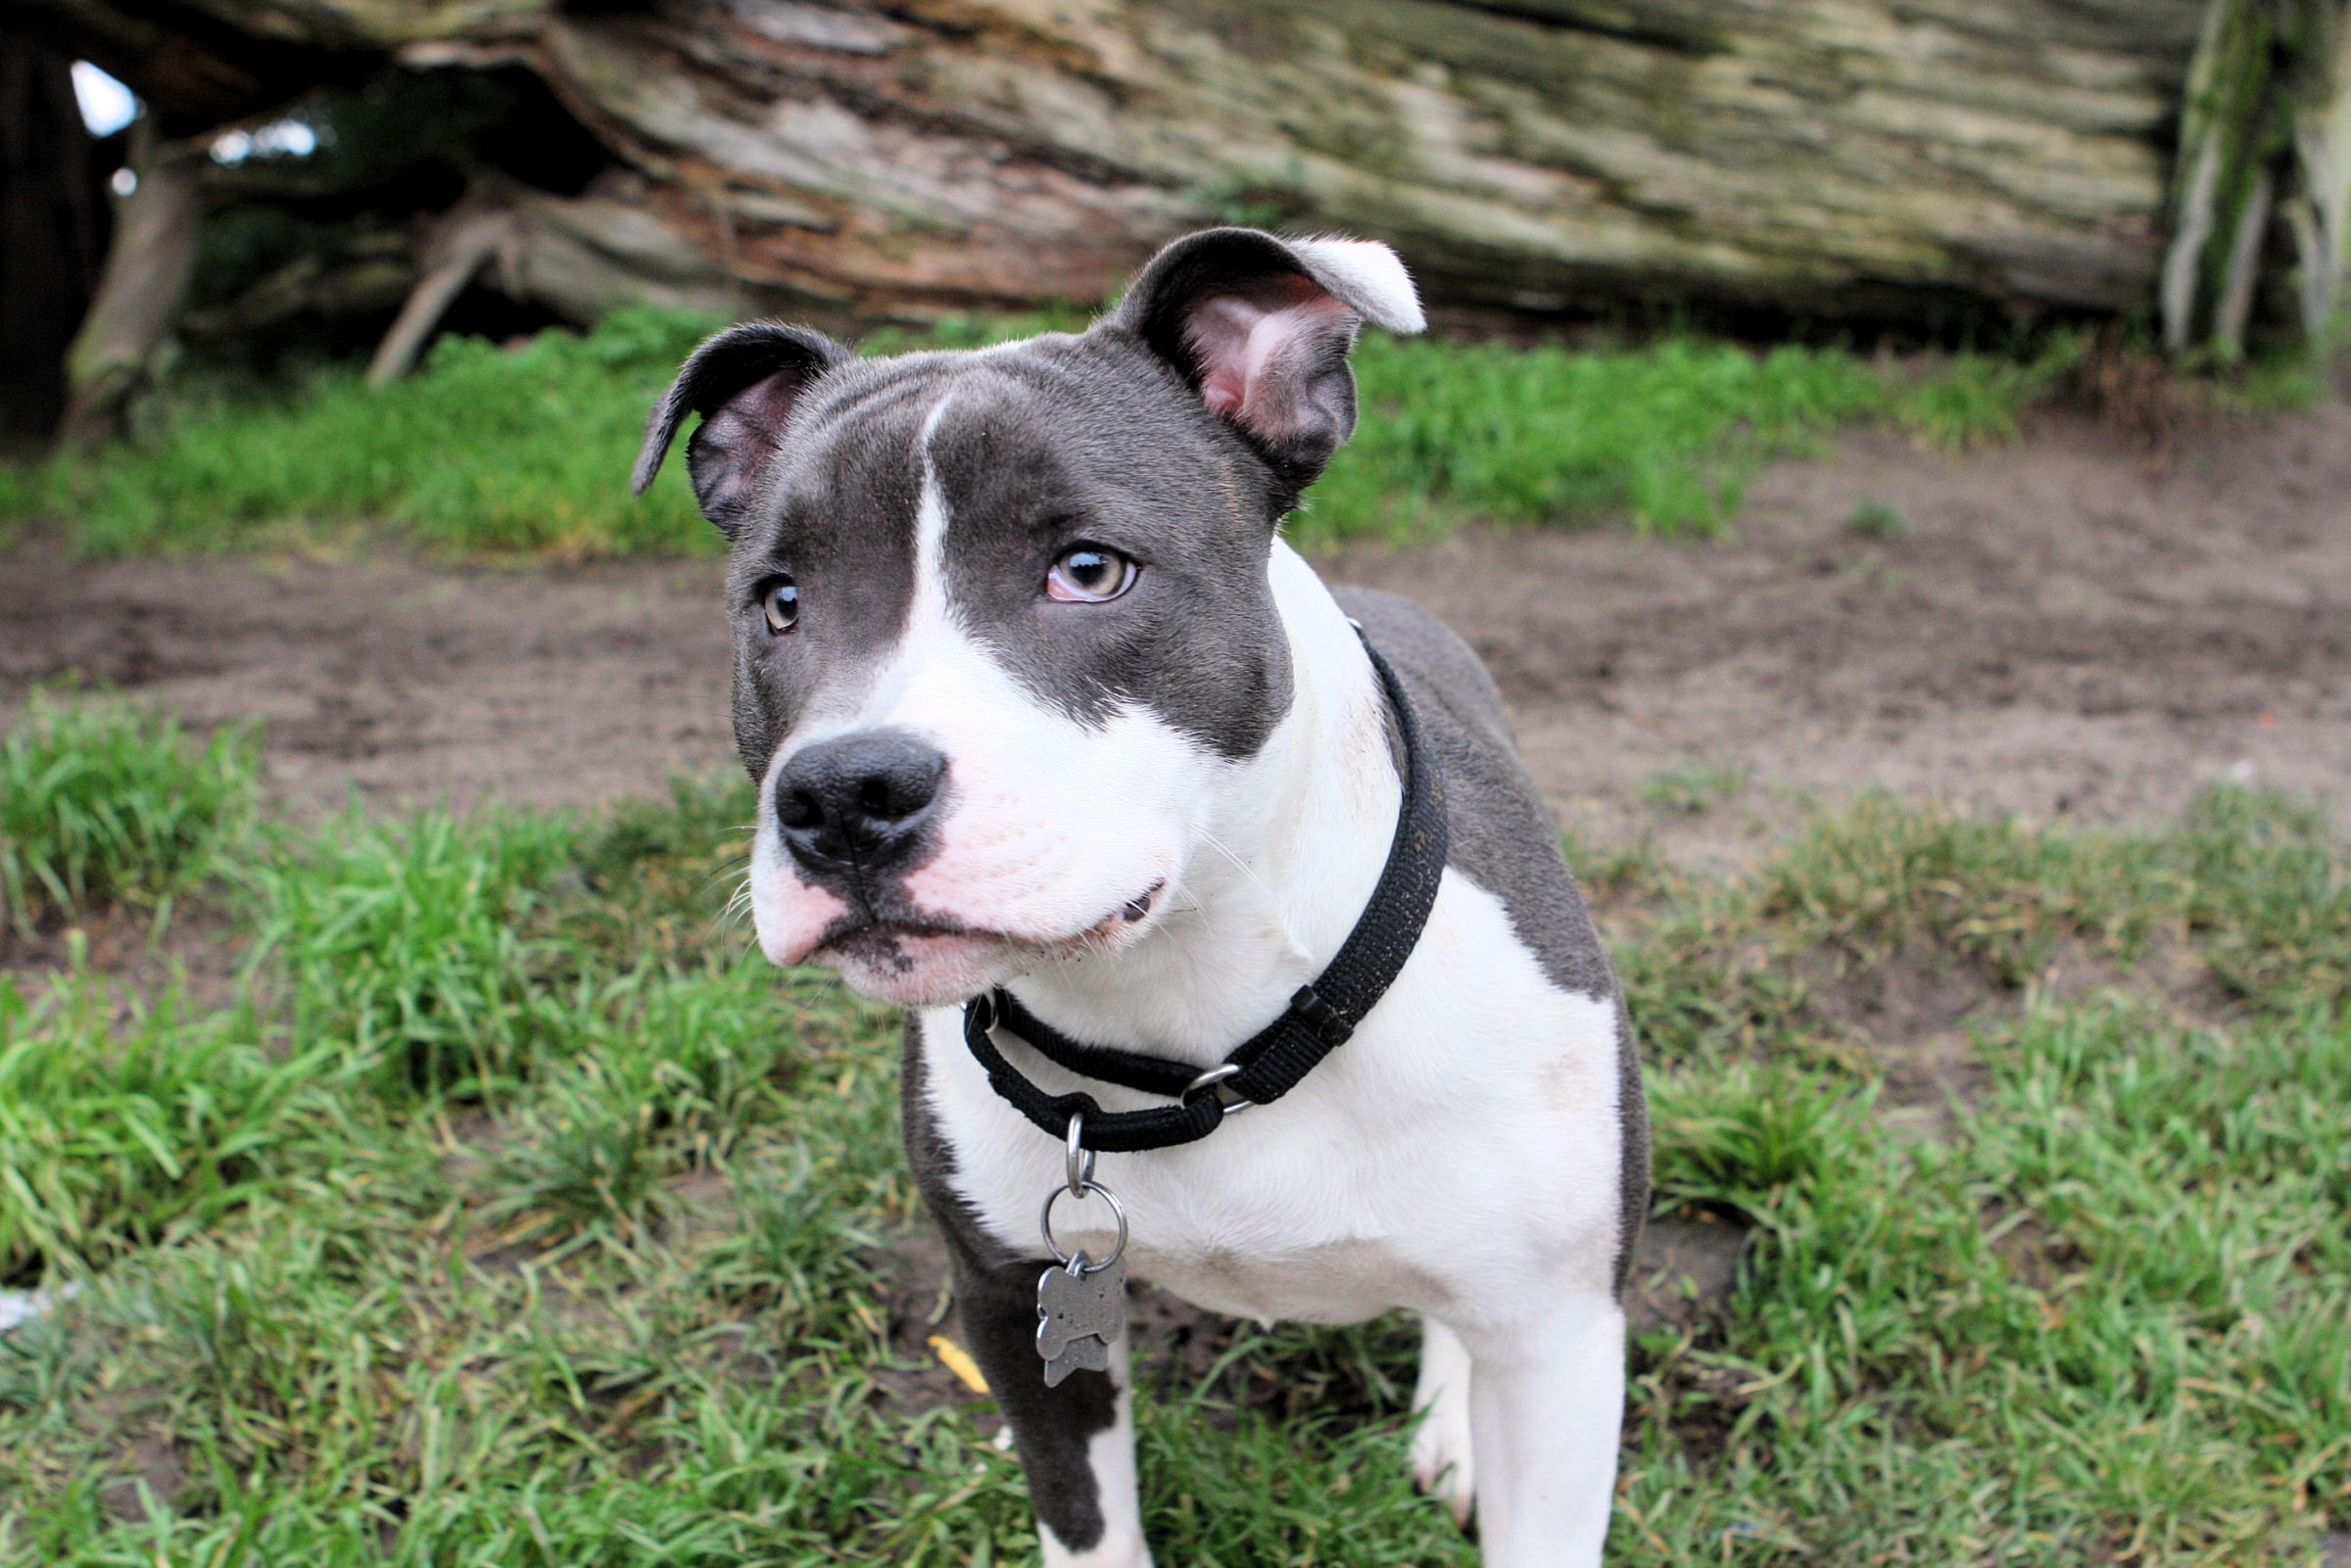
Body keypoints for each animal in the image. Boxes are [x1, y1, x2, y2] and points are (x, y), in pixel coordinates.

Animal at [635, 230, 1646, 1568]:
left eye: (1088, 570)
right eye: (780, 602)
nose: (843, 793)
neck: (1195, 1021)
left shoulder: (1563, 1329)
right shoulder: (1015, 1297)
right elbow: (1088, 1518)